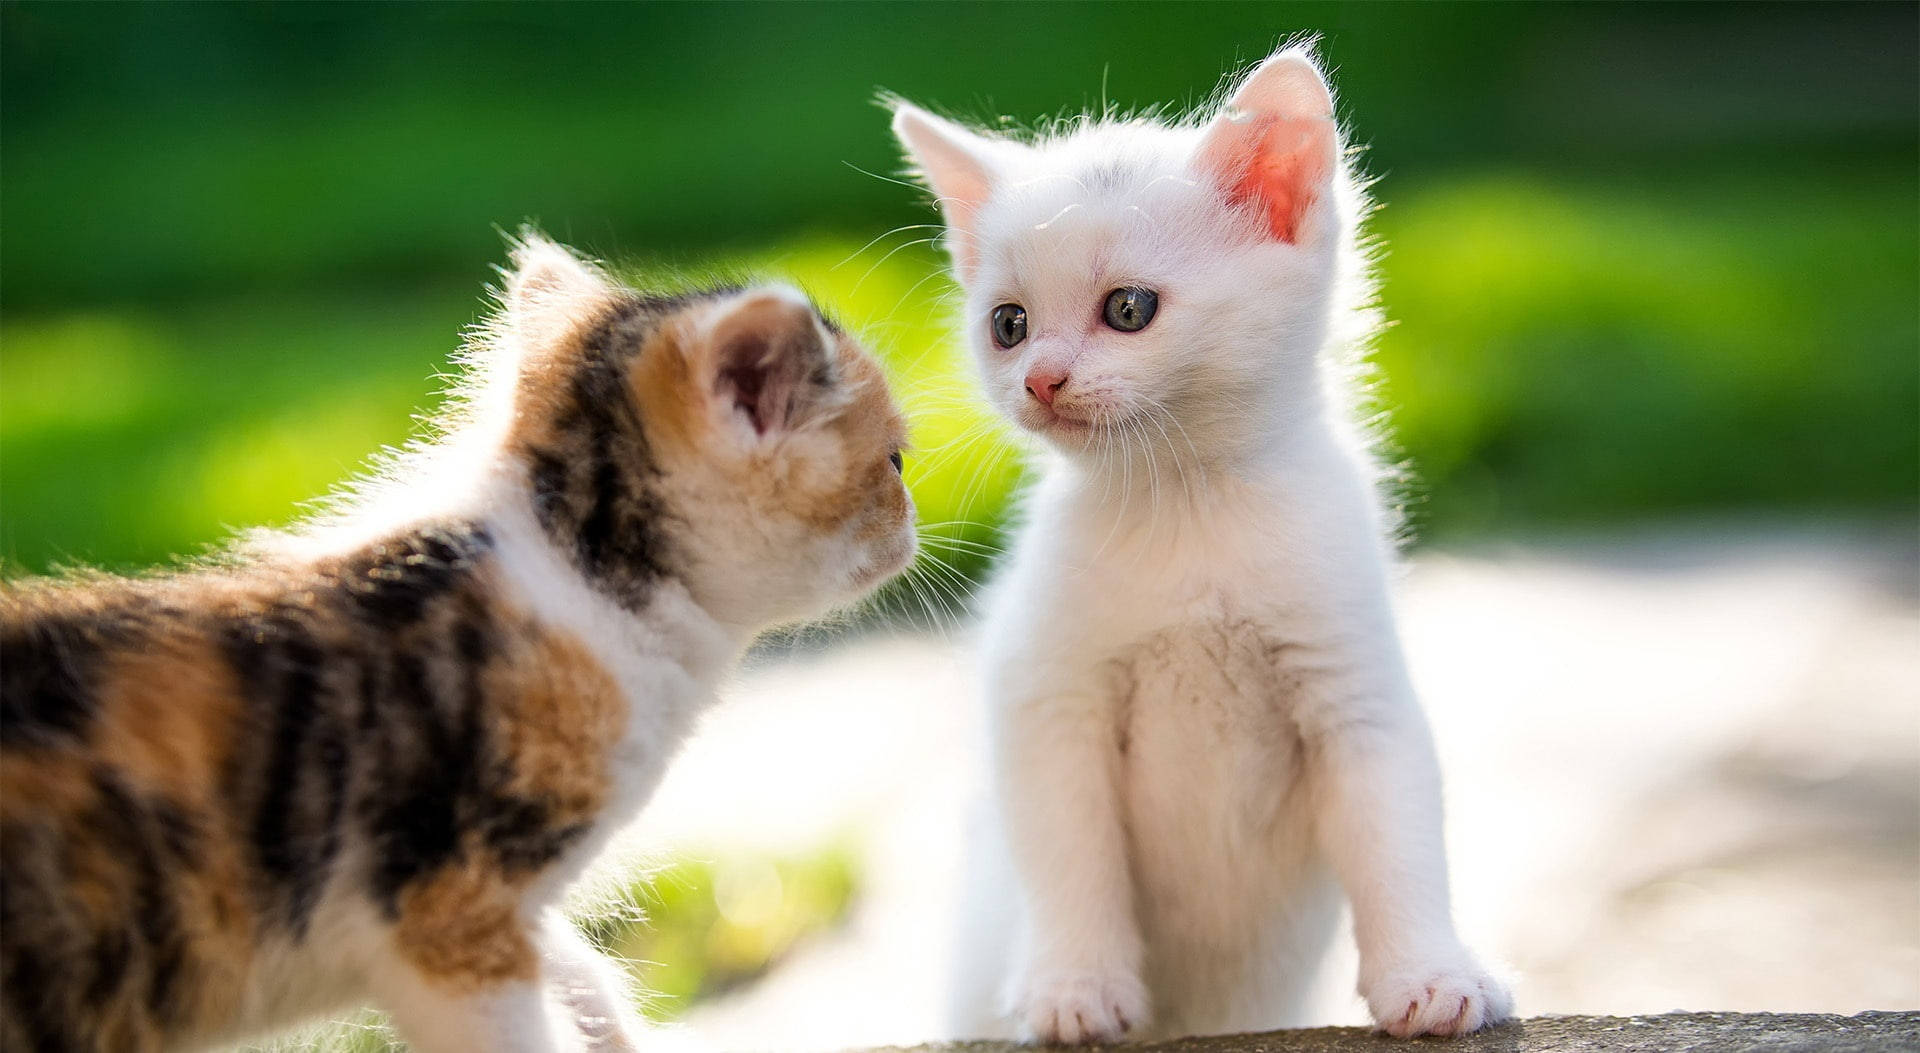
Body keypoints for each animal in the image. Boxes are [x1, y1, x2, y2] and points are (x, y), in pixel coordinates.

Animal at [0, 238, 913, 1053]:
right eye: (897, 462)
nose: (914, 522)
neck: (586, 574)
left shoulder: (511, 907)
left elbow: (579, 974)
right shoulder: (446, 912)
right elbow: (520, 1029)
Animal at [894, 45, 1512, 1037]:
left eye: (1128, 308)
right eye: (1008, 324)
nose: (1041, 378)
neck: (1186, 503)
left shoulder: (1357, 686)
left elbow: (1398, 832)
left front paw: (1430, 973)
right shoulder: (1043, 691)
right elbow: (1069, 851)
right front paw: (1075, 986)